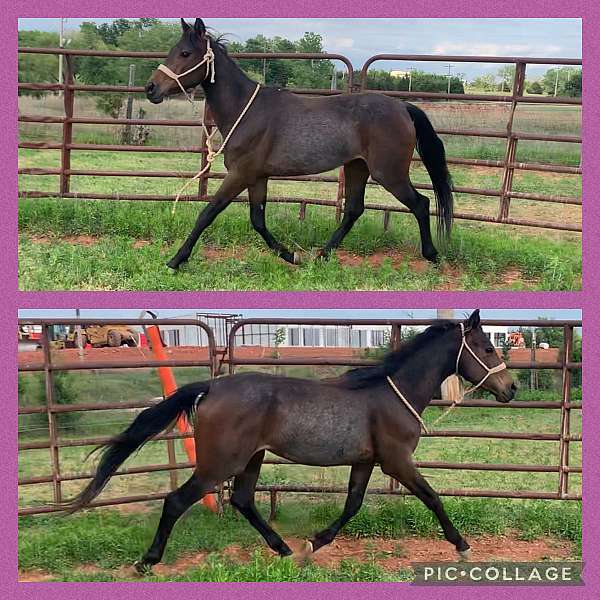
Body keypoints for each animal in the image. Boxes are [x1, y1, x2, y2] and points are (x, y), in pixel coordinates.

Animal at [63, 312, 516, 576]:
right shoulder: (397, 462)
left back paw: (282, 550)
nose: (510, 389)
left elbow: (352, 505)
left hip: (251, 458)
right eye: (487, 346)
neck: (391, 393)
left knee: (243, 500)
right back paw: (147, 561)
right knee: (177, 501)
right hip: (220, 464)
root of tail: (210, 387)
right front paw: (463, 547)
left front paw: (312, 544)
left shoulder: (366, 462)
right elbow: (434, 498)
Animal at [146, 19, 454, 270]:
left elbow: (208, 213)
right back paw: (321, 256)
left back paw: (432, 256)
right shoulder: (257, 177)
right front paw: (290, 255)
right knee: (354, 210)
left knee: (421, 204)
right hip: (357, 167)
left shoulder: (240, 174)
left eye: (185, 53)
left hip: (388, 173)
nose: (151, 89)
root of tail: (402, 107)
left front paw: (176, 260)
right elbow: (257, 220)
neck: (246, 111)